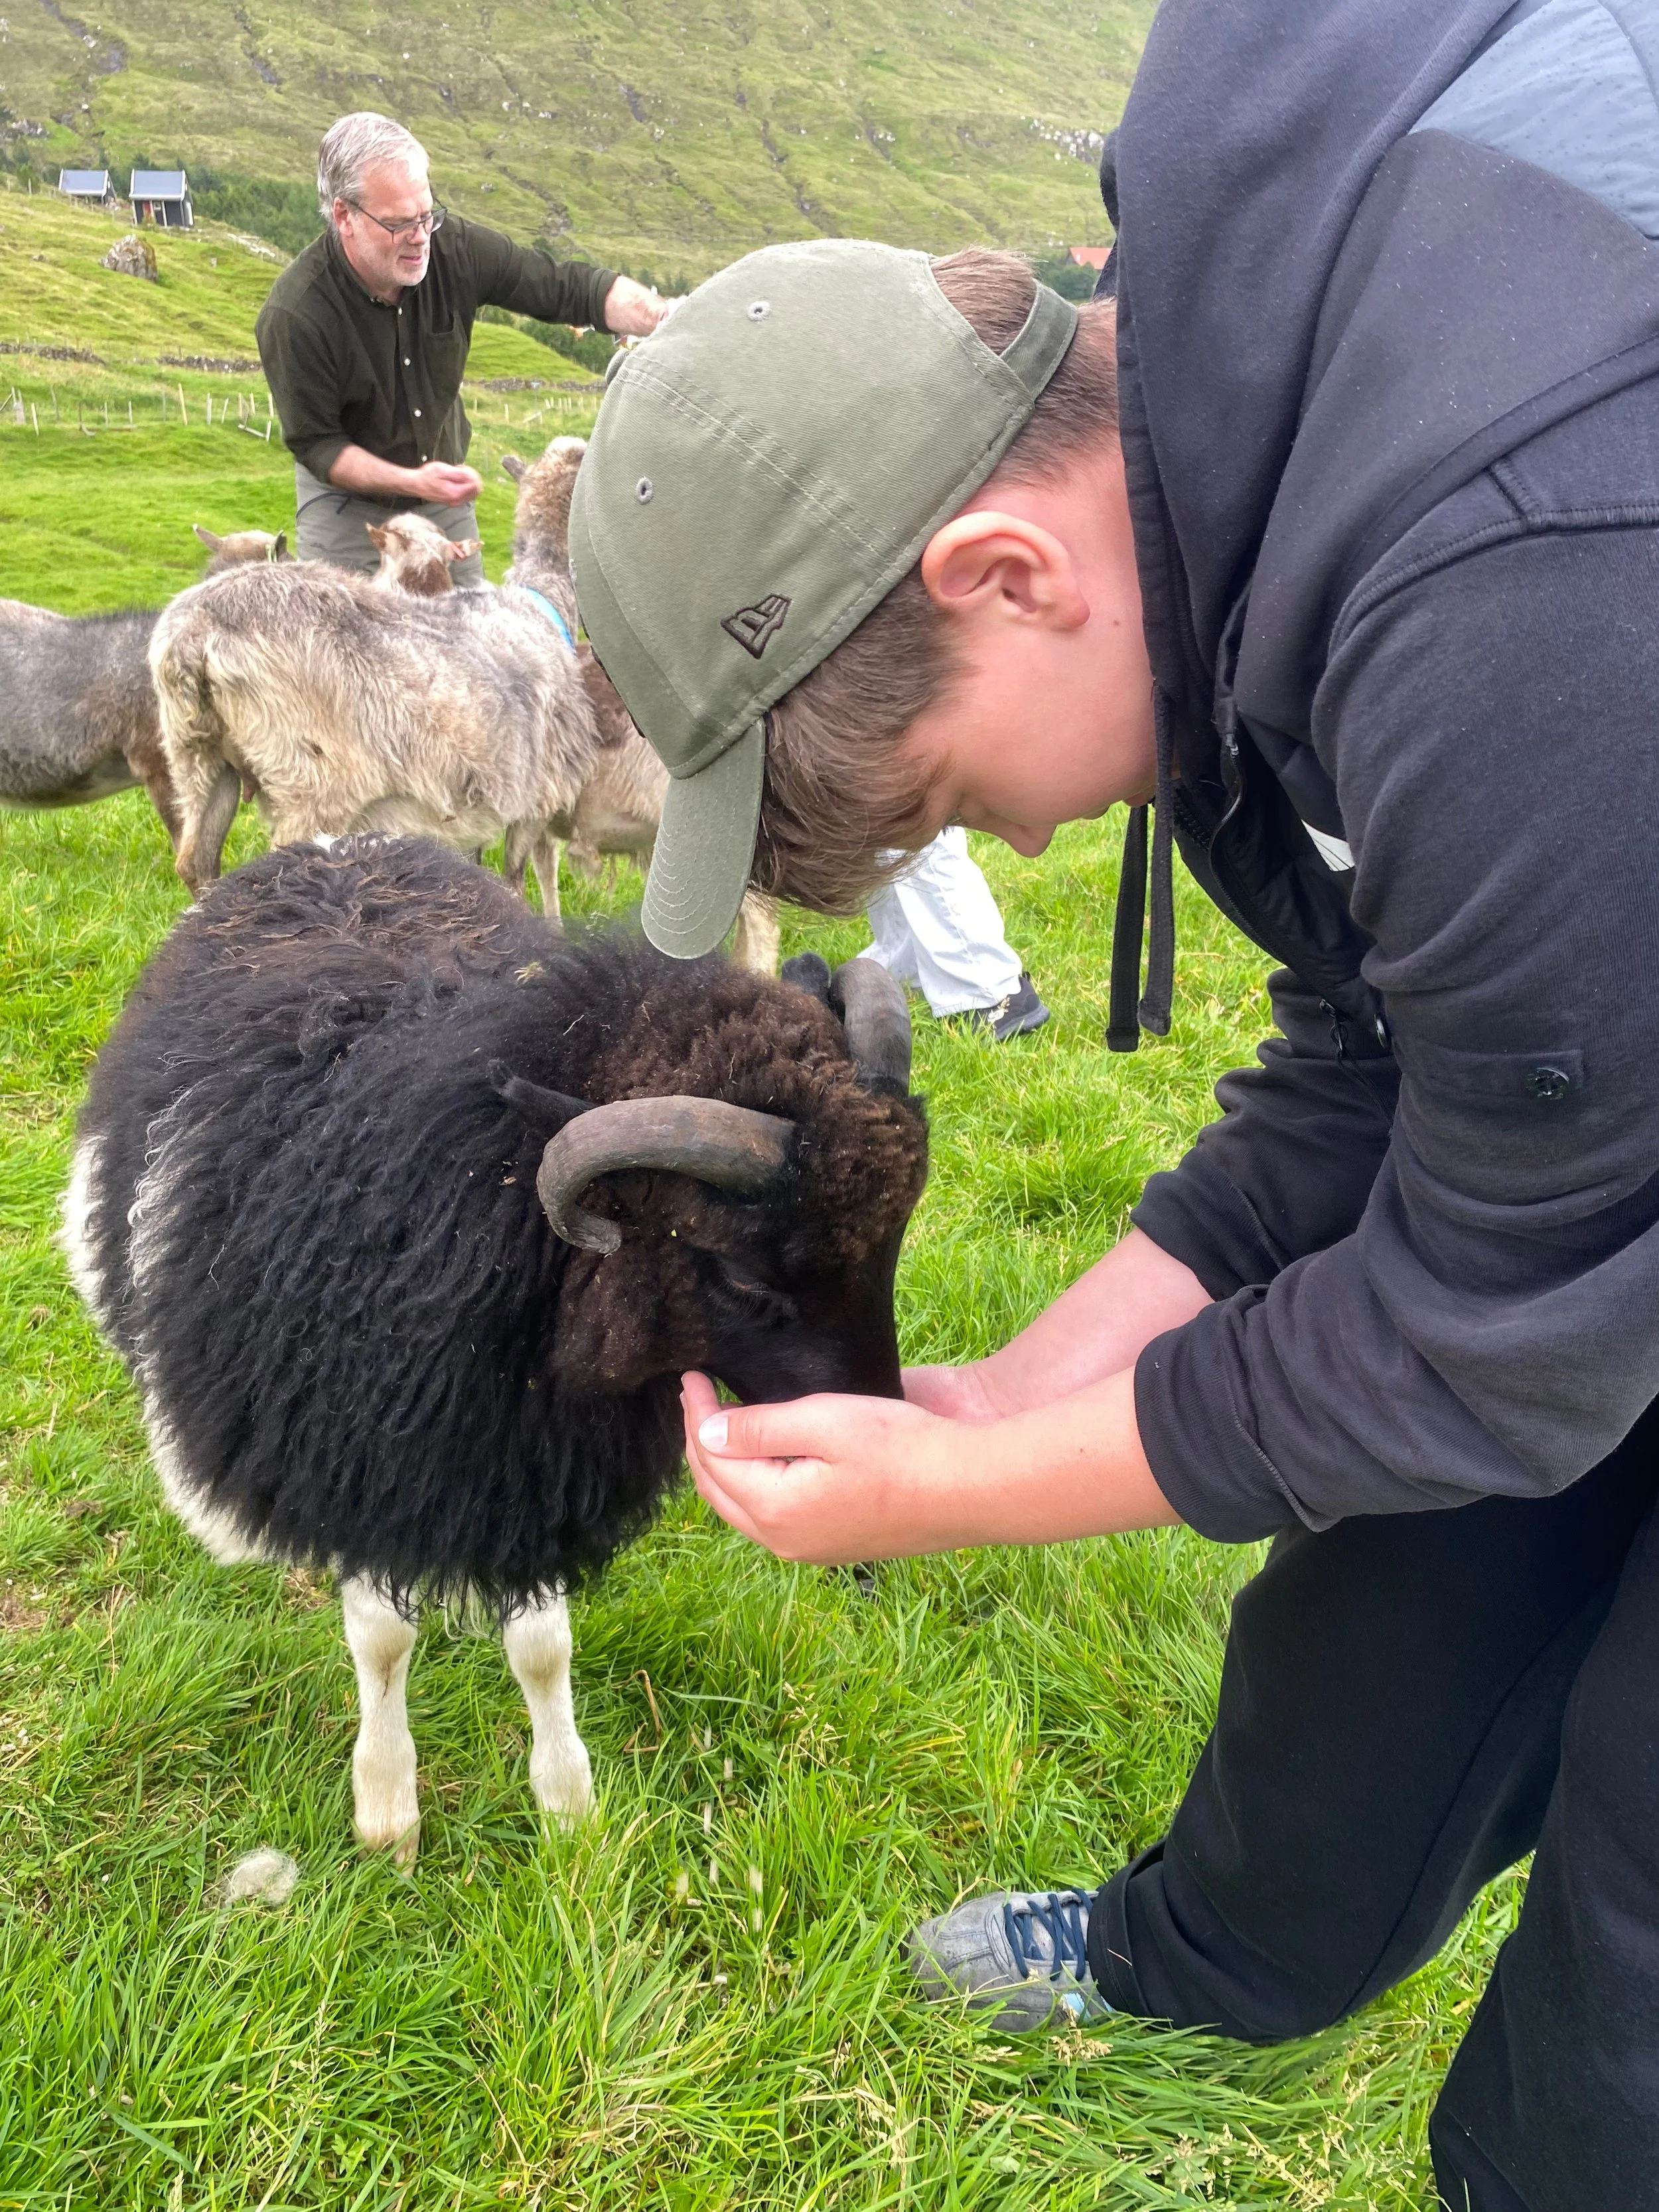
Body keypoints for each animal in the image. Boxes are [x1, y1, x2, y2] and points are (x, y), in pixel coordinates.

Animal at [62, 834, 926, 1862]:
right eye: (746, 1278)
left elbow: (542, 1647)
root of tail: (340, 841)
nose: (883, 1523)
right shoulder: (364, 1451)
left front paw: (569, 1809)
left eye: (892, 1251)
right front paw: (388, 1816)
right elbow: (383, 1639)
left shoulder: (529, 1454)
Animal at [151, 451, 603, 902]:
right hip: (313, 784)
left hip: (196, 755)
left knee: (194, 861)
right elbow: (526, 876)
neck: (544, 599)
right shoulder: (539, 793)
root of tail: (196, 634)